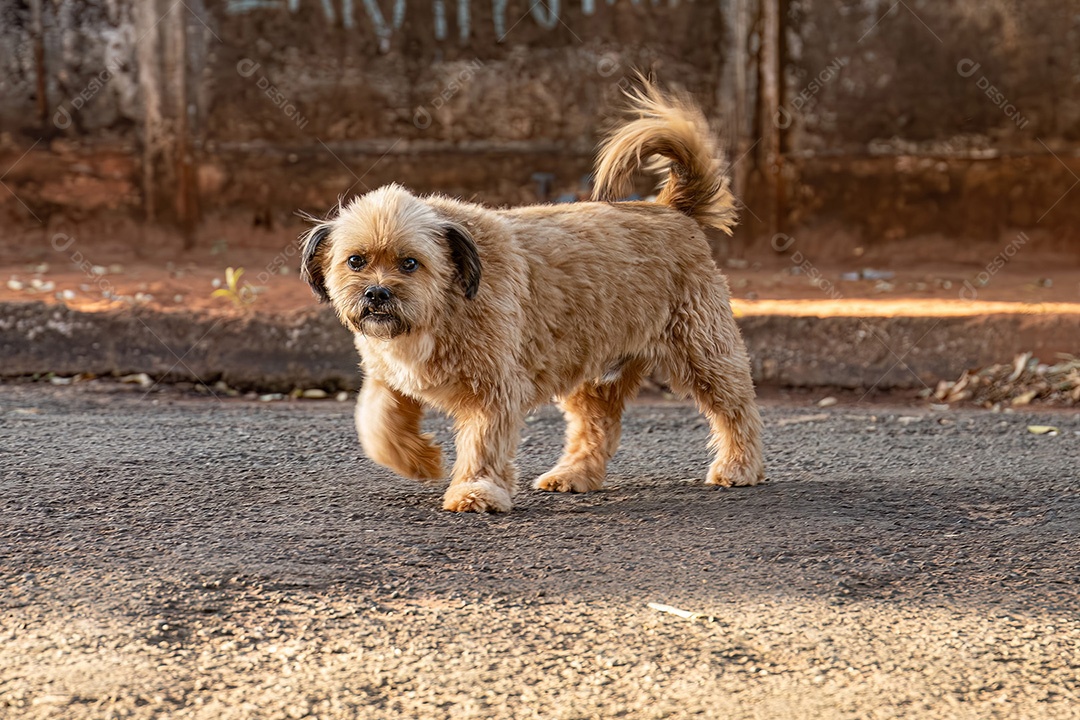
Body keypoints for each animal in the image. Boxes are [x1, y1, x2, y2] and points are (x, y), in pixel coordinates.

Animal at [300, 80, 764, 511]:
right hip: (594, 372)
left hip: (703, 352)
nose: (377, 293)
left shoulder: (494, 389)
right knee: (596, 428)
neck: (442, 305)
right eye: (356, 261)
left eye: (410, 263)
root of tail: (669, 207)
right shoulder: (390, 377)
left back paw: (739, 466)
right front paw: (421, 461)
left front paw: (476, 490)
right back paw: (574, 474)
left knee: (735, 409)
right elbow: (377, 425)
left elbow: (483, 444)